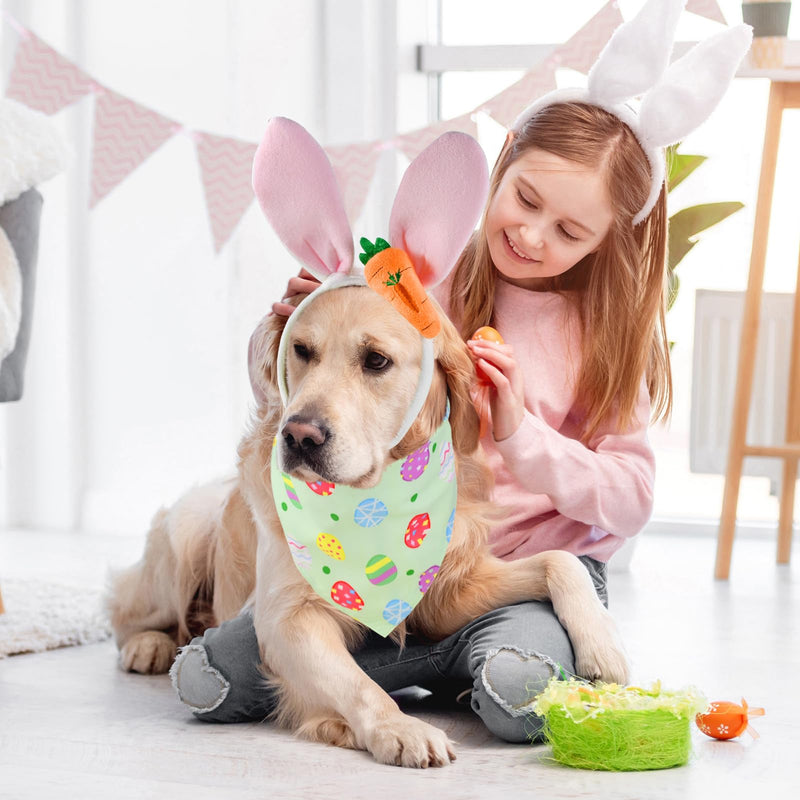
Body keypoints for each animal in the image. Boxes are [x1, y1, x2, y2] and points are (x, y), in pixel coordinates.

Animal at [109, 119, 628, 768]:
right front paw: (395, 729)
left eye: (375, 360)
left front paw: (604, 646)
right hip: (185, 533)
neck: (374, 504)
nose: (299, 435)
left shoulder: (450, 588)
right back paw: (149, 646)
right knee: (129, 610)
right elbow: (359, 685)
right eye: (301, 350)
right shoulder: (287, 616)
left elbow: (562, 560)